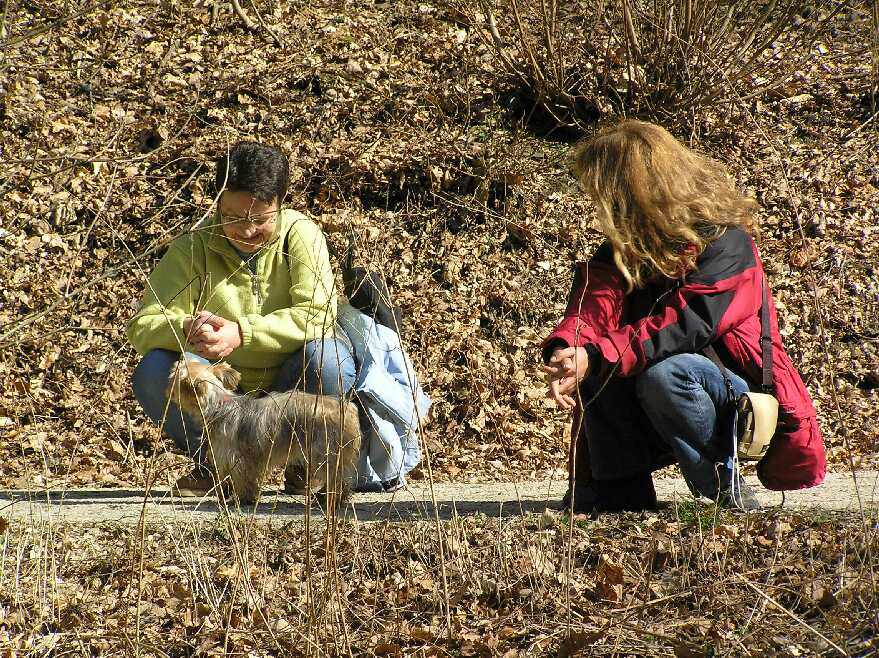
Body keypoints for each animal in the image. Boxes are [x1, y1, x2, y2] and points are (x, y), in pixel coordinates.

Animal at [166, 359, 361, 509]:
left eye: (173, 379)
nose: (168, 390)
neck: (219, 404)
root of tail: (348, 409)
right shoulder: (252, 460)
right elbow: (251, 479)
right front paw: (249, 498)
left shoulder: (235, 457)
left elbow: (241, 478)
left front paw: (240, 499)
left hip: (325, 452)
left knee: (334, 477)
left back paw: (330, 500)